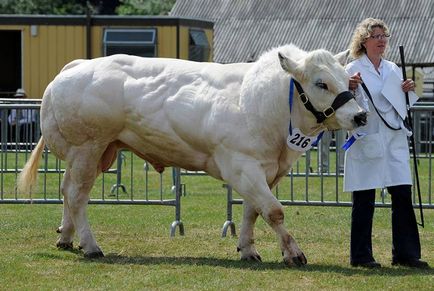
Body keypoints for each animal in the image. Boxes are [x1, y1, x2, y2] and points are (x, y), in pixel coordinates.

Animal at [19, 44, 366, 266]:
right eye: (321, 83)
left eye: (348, 80)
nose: (360, 115)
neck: (263, 103)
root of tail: (76, 64)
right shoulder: (242, 166)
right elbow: (274, 211)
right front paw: (293, 253)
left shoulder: (265, 169)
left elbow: (252, 211)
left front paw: (247, 250)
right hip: (87, 146)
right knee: (77, 195)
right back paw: (91, 246)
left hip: (98, 151)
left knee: (68, 191)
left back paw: (66, 237)